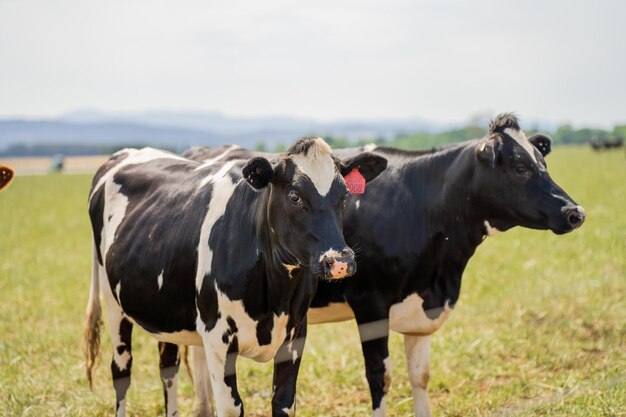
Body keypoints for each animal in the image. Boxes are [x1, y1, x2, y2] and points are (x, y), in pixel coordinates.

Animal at [83, 137, 386, 416]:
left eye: (344, 196)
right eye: (294, 196)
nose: (340, 261)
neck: (274, 295)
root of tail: (128, 153)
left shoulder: (296, 334)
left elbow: (283, 403)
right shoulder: (217, 338)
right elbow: (231, 407)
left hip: (162, 311)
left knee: (168, 367)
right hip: (113, 305)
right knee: (121, 370)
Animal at [180, 112, 584, 414]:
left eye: (542, 162)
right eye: (520, 167)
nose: (574, 212)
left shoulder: (421, 305)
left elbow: (420, 375)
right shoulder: (371, 304)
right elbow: (380, 376)